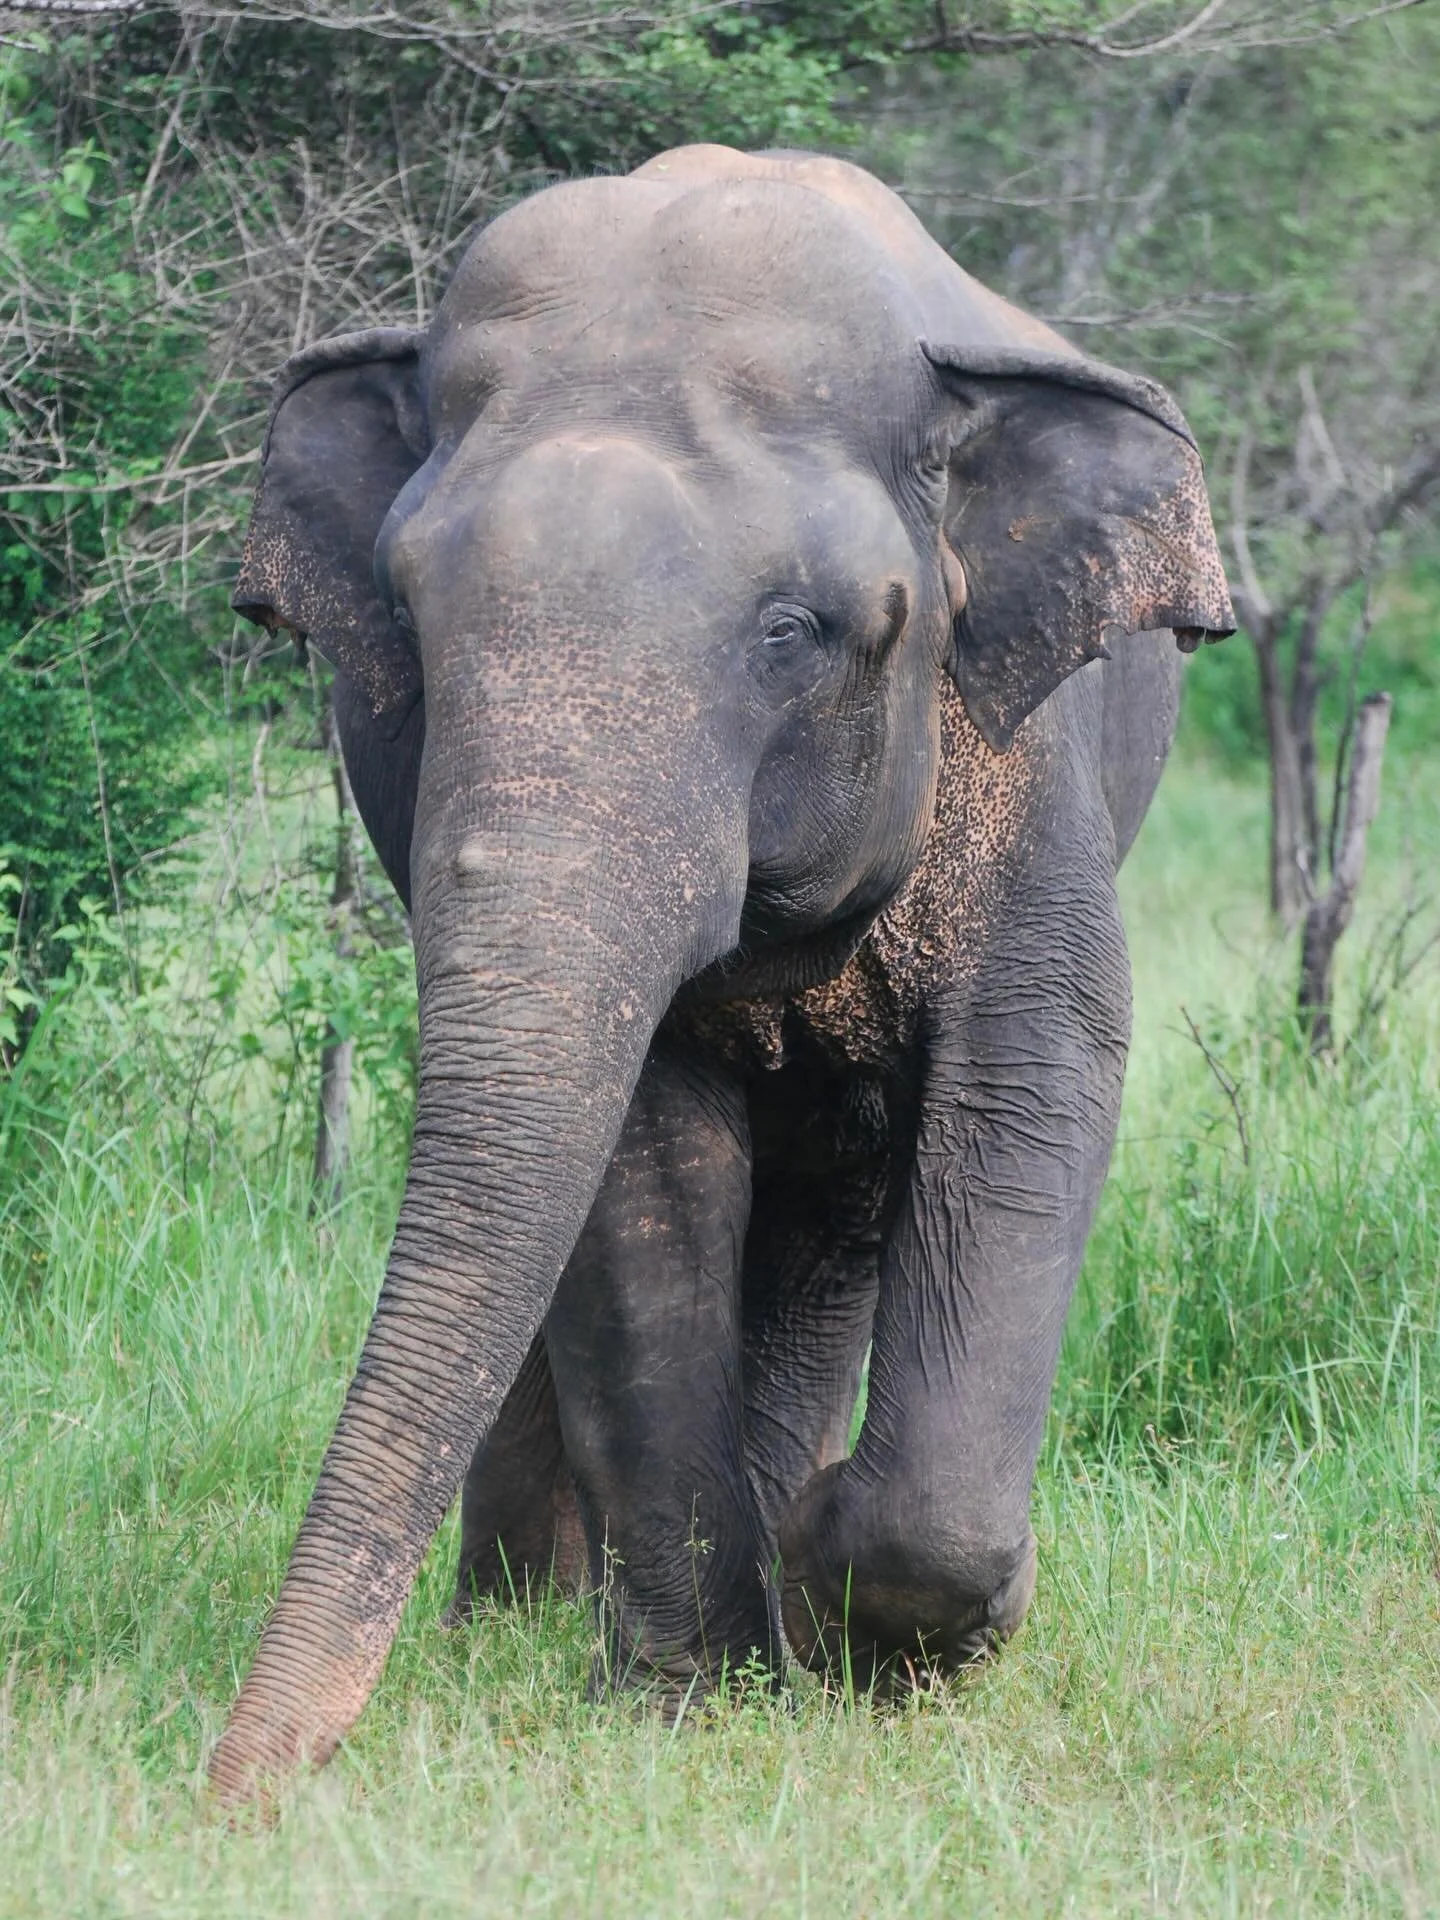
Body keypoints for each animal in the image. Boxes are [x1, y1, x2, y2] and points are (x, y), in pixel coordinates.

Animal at [208, 143, 1232, 1803]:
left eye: (793, 630)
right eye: (408, 621)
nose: (232, 1793)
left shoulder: (1027, 766)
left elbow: (1031, 1084)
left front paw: (849, 1617)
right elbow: (638, 1167)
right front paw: (694, 1700)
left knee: (840, 1209)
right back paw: (522, 1622)